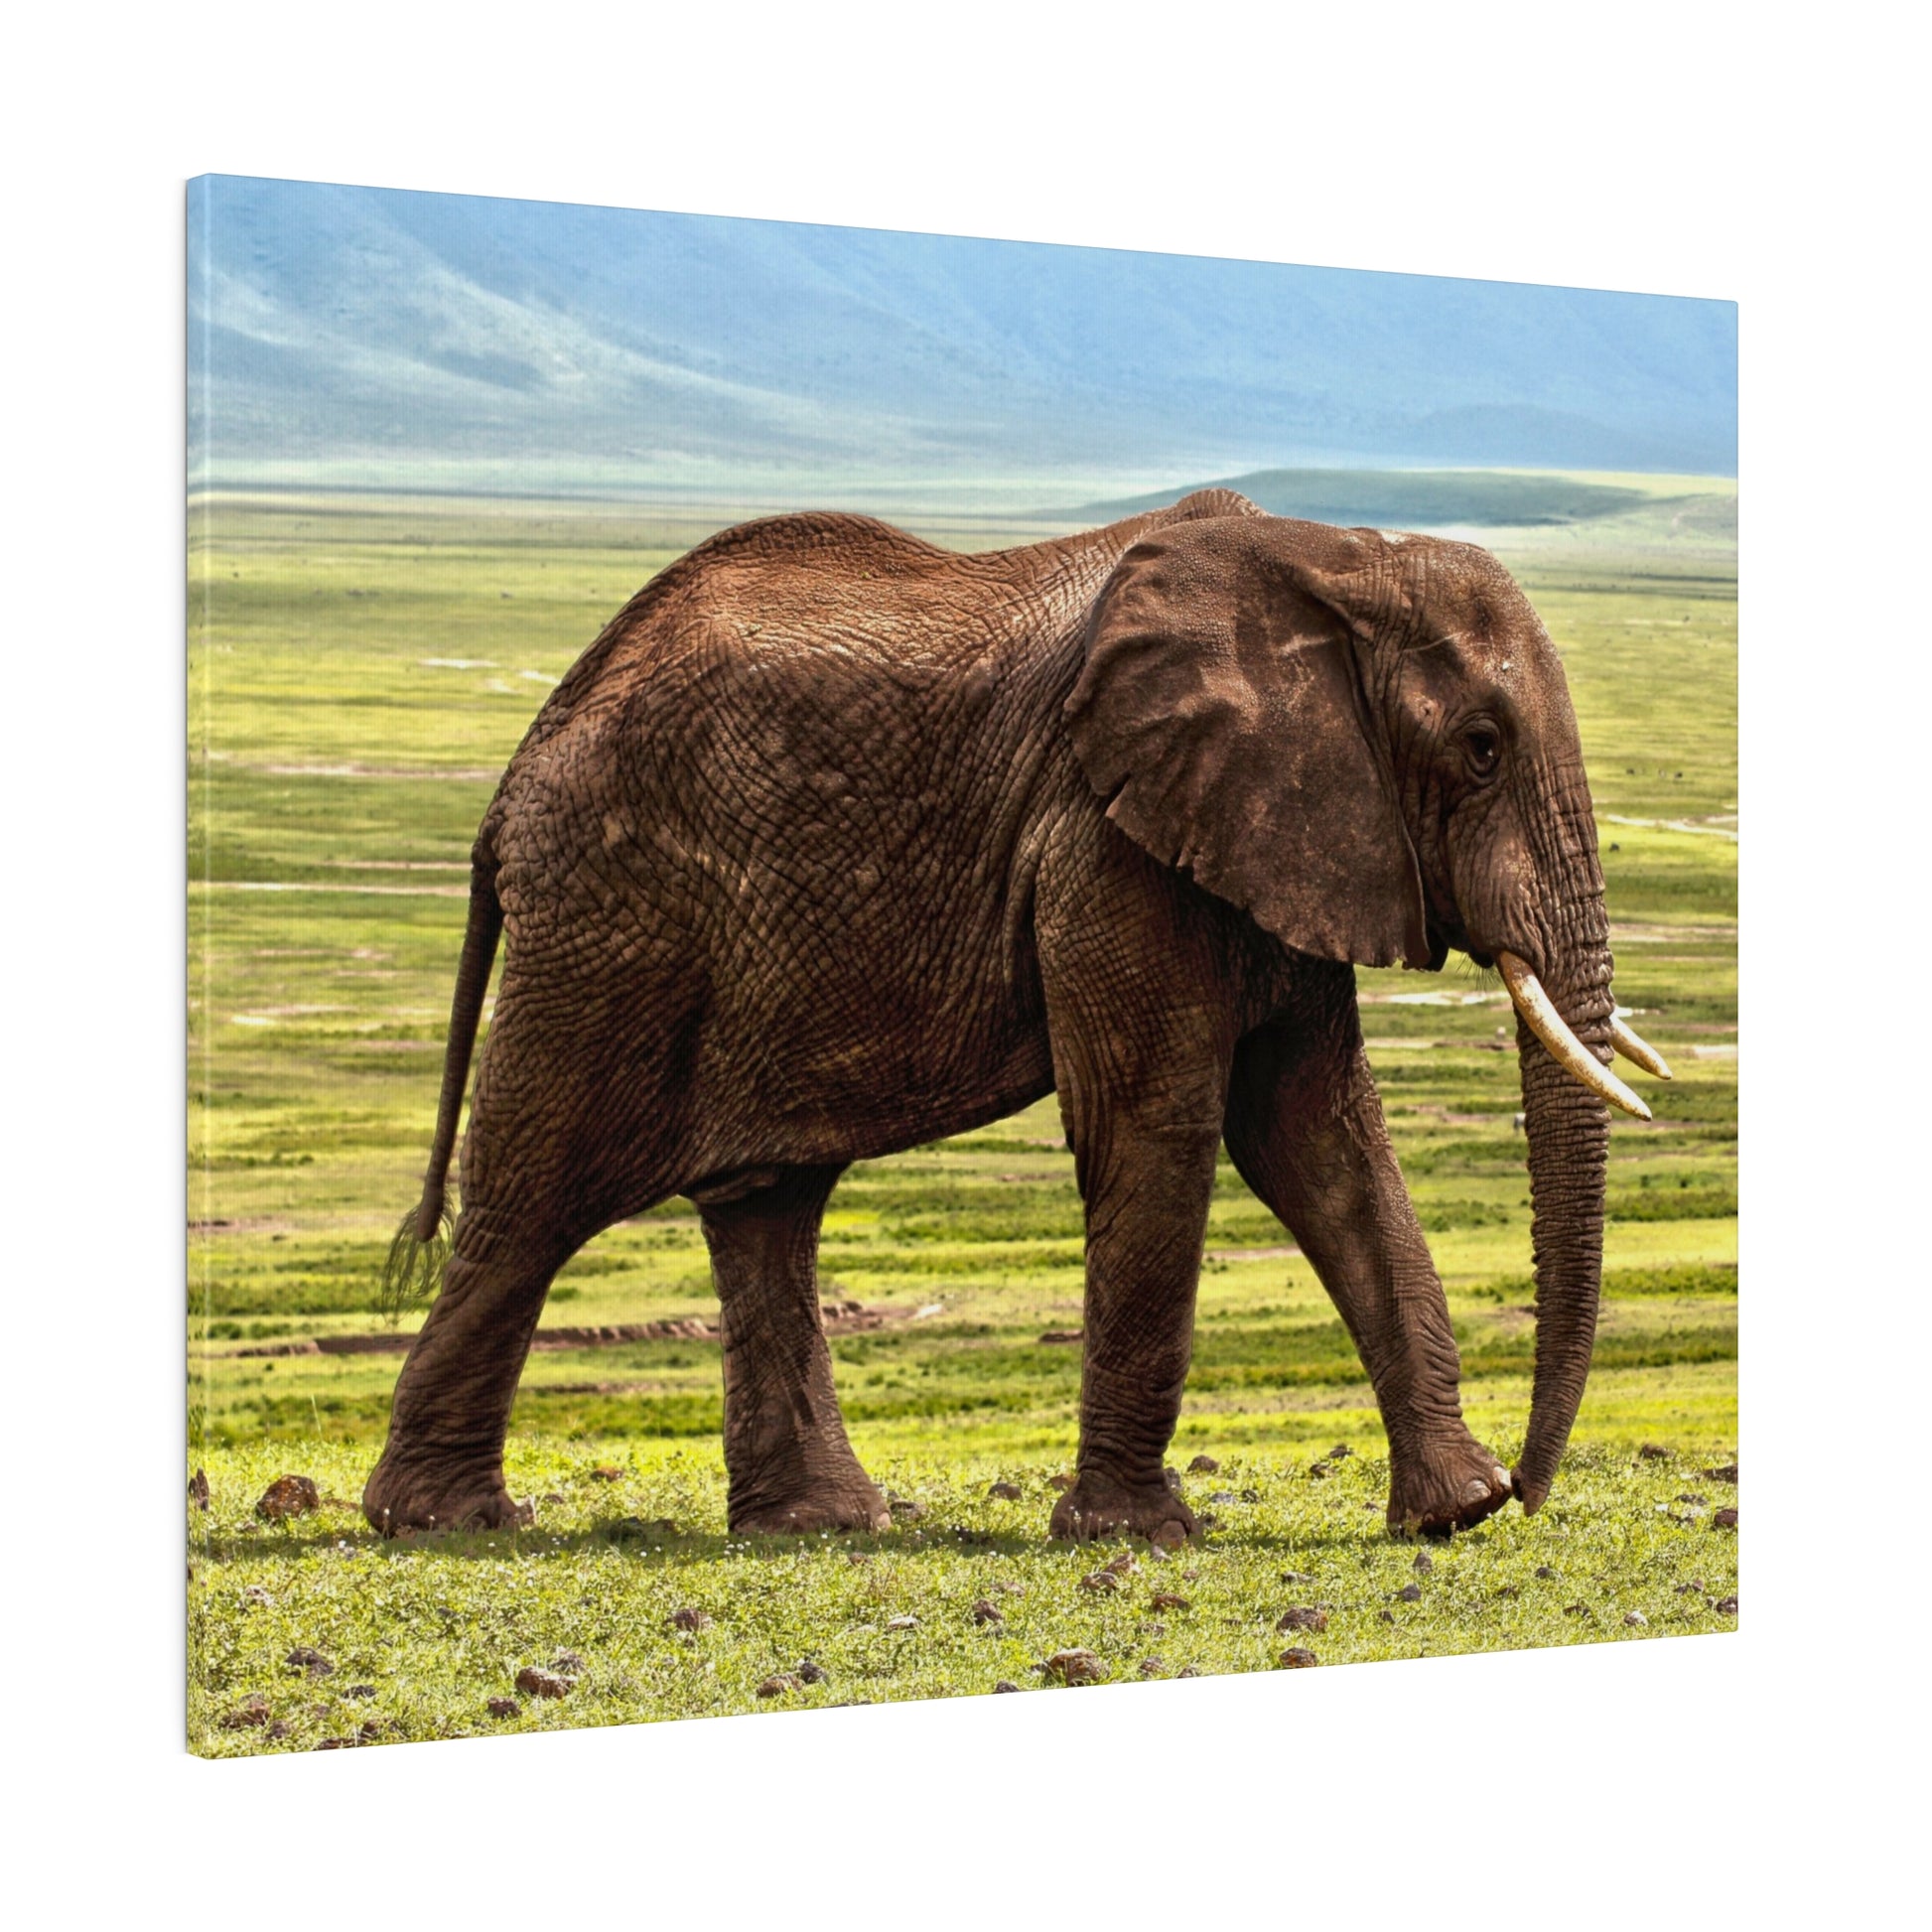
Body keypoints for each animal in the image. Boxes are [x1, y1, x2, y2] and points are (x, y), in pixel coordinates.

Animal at [363, 487, 1670, 1544]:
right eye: (1481, 747)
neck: (1332, 557)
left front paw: (1453, 1512)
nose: (1532, 1490)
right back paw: (443, 1521)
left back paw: (819, 1524)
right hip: (613, 920)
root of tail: (518, 768)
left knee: (766, 1202)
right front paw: (1135, 1535)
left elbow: (1320, 1139)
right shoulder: (1104, 838)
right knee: (534, 1196)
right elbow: (1157, 1125)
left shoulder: (1280, 835)